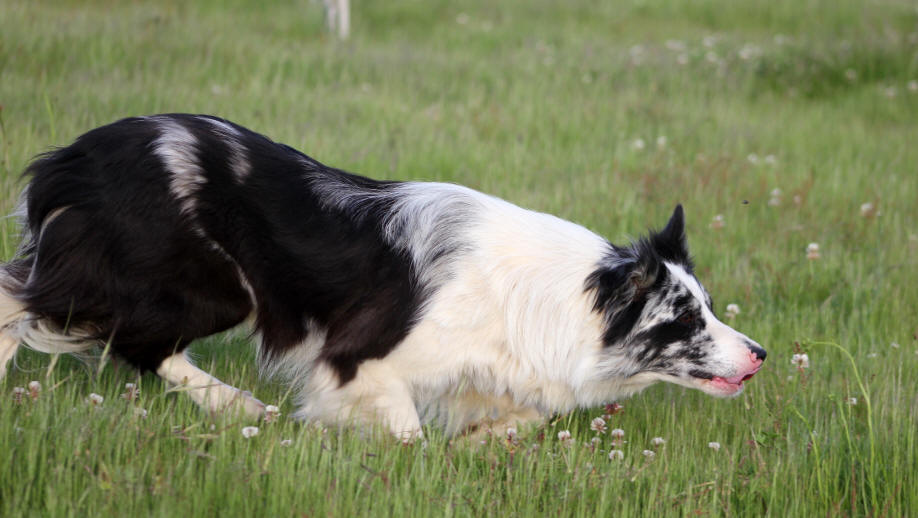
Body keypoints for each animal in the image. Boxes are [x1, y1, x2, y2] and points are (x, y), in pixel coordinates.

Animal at [0, 115, 764, 438]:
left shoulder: (495, 373)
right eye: (685, 319)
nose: (759, 354)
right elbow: (403, 428)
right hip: (209, 286)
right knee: (117, 335)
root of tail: (75, 154)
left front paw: (481, 448)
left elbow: (513, 420)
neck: (568, 297)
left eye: (709, 306)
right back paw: (239, 407)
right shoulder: (360, 359)